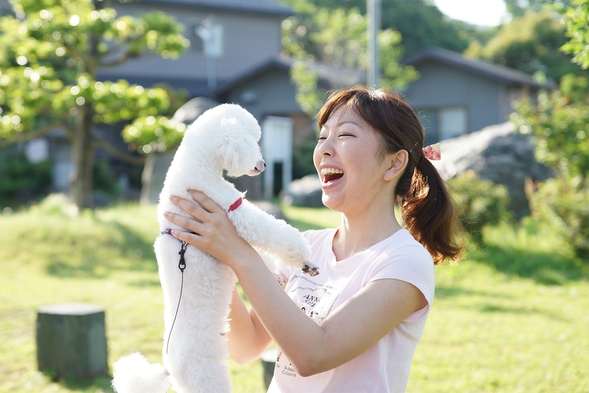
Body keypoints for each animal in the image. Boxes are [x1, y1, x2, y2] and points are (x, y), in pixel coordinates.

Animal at [112, 102, 320, 390]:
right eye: (253, 140)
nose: (264, 165)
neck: (195, 169)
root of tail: (168, 368)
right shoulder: (234, 210)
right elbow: (274, 233)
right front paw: (305, 259)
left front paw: (279, 273)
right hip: (206, 376)